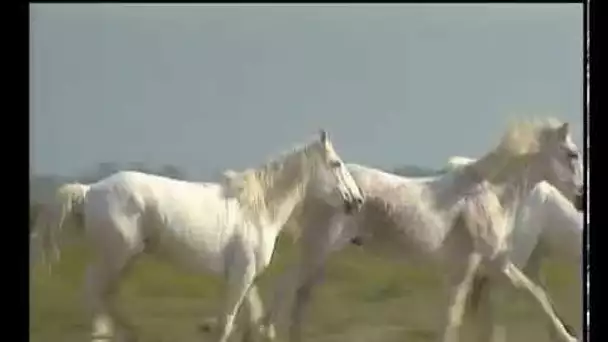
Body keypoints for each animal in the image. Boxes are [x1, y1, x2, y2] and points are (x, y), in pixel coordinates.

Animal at [30, 130, 364, 342]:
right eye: (336, 164)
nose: (357, 200)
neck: (257, 210)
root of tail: (89, 191)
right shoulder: (240, 275)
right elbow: (226, 324)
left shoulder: (245, 277)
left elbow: (251, 321)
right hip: (114, 257)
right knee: (93, 293)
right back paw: (108, 333)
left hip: (126, 259)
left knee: (106, 297)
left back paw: (130, 332)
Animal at [254, 117, 580, 342]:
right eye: (572, 154)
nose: (581, 196)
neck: (490, 195)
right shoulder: (465, 269)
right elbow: (452, 320)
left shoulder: (495, 264)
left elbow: (536, 295)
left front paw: (568, 335)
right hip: (316, 249)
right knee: (285, 290)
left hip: (318, 257)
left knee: (299, 301)